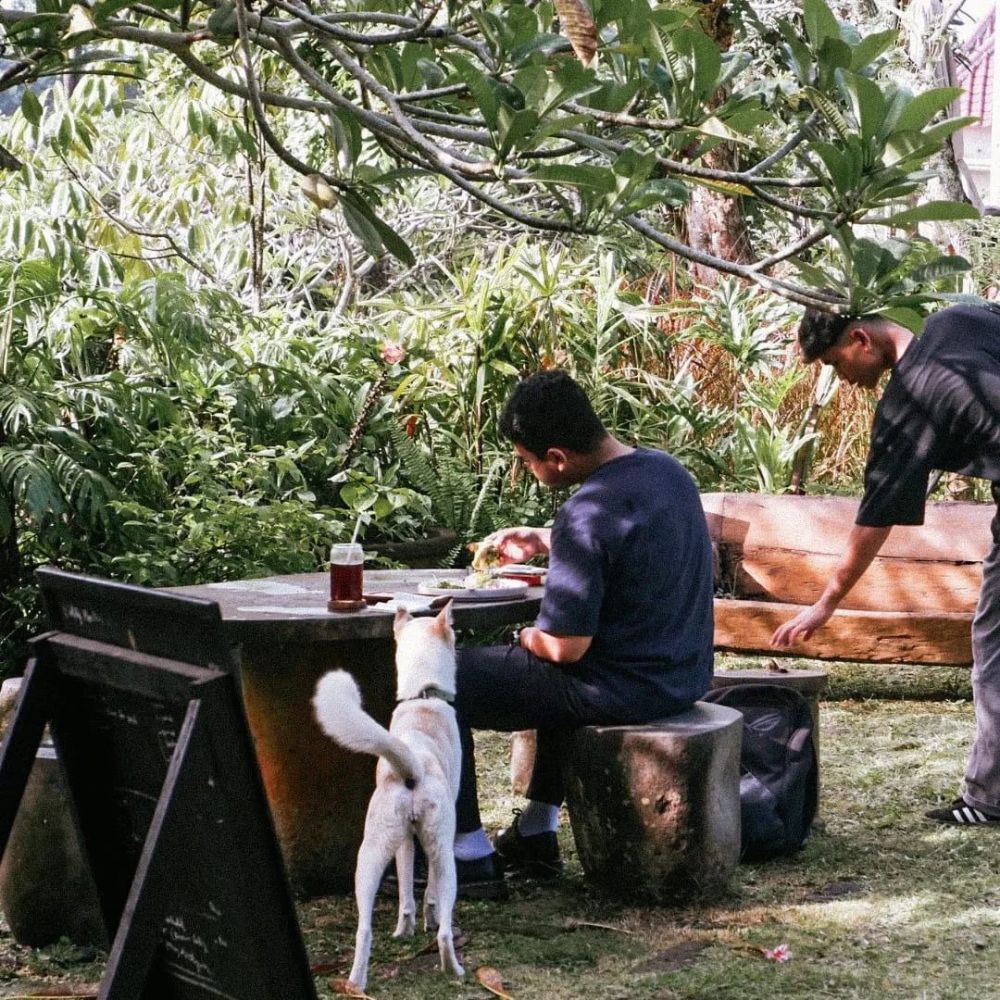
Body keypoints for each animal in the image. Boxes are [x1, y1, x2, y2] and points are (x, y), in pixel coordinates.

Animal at [310, 600, 462, 992]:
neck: (422, 697)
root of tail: (412, 766)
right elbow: (429, 896)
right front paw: (426, 920)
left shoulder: (405, 843)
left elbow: (408, 892)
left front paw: (404, 929)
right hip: (445, 854)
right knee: (444, 930)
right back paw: (454, 969)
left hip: (370, 856)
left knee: (364, 931)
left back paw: (356, 982)